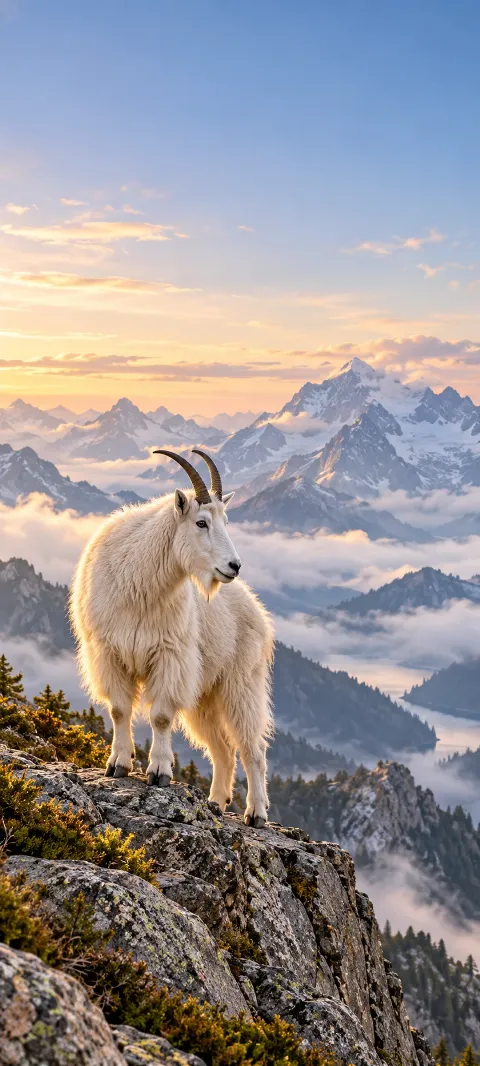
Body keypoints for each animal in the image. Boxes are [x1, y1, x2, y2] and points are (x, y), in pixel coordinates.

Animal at [70, 449, 274, 827]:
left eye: (225, 521)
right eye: (201, 523)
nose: (234, 566)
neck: (140, 580)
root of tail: (259, 614)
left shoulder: (170, 657)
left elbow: (162, 716)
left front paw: (159, 773)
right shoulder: (108, 652)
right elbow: (119, 709)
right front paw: (117, 765)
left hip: (241, 682)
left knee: (252, 746)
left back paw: (255, 812)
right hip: (205, 696)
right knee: (223, 749)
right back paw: (216, 803)